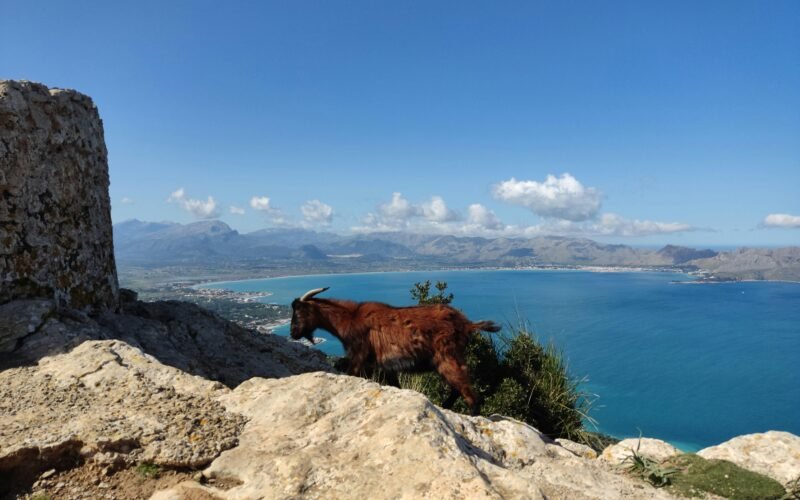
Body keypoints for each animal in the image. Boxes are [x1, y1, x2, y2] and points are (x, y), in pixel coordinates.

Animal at [290, 287, 501, 415]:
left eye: (299, 311)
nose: (292, 333)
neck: (350, 318)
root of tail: (465, 324)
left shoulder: (358, 355)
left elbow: (353, 373)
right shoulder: (386, 366)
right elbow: (395, 386)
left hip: (447, 356)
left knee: (467, 389)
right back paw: (445, 406)